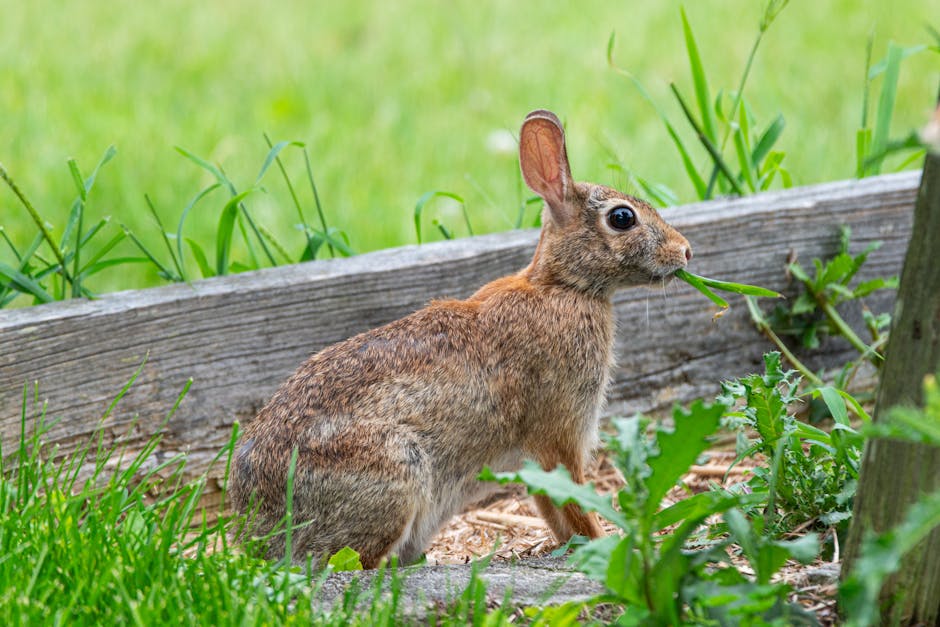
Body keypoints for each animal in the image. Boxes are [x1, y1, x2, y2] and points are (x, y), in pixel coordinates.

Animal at [228, 110, 693, 568]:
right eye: (622, 218)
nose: (686, 251)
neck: (563, 286)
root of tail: (258, 528)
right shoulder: (559, 433)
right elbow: (572, 498)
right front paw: (604, 543)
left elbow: (552, 508)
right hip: (395, 475)